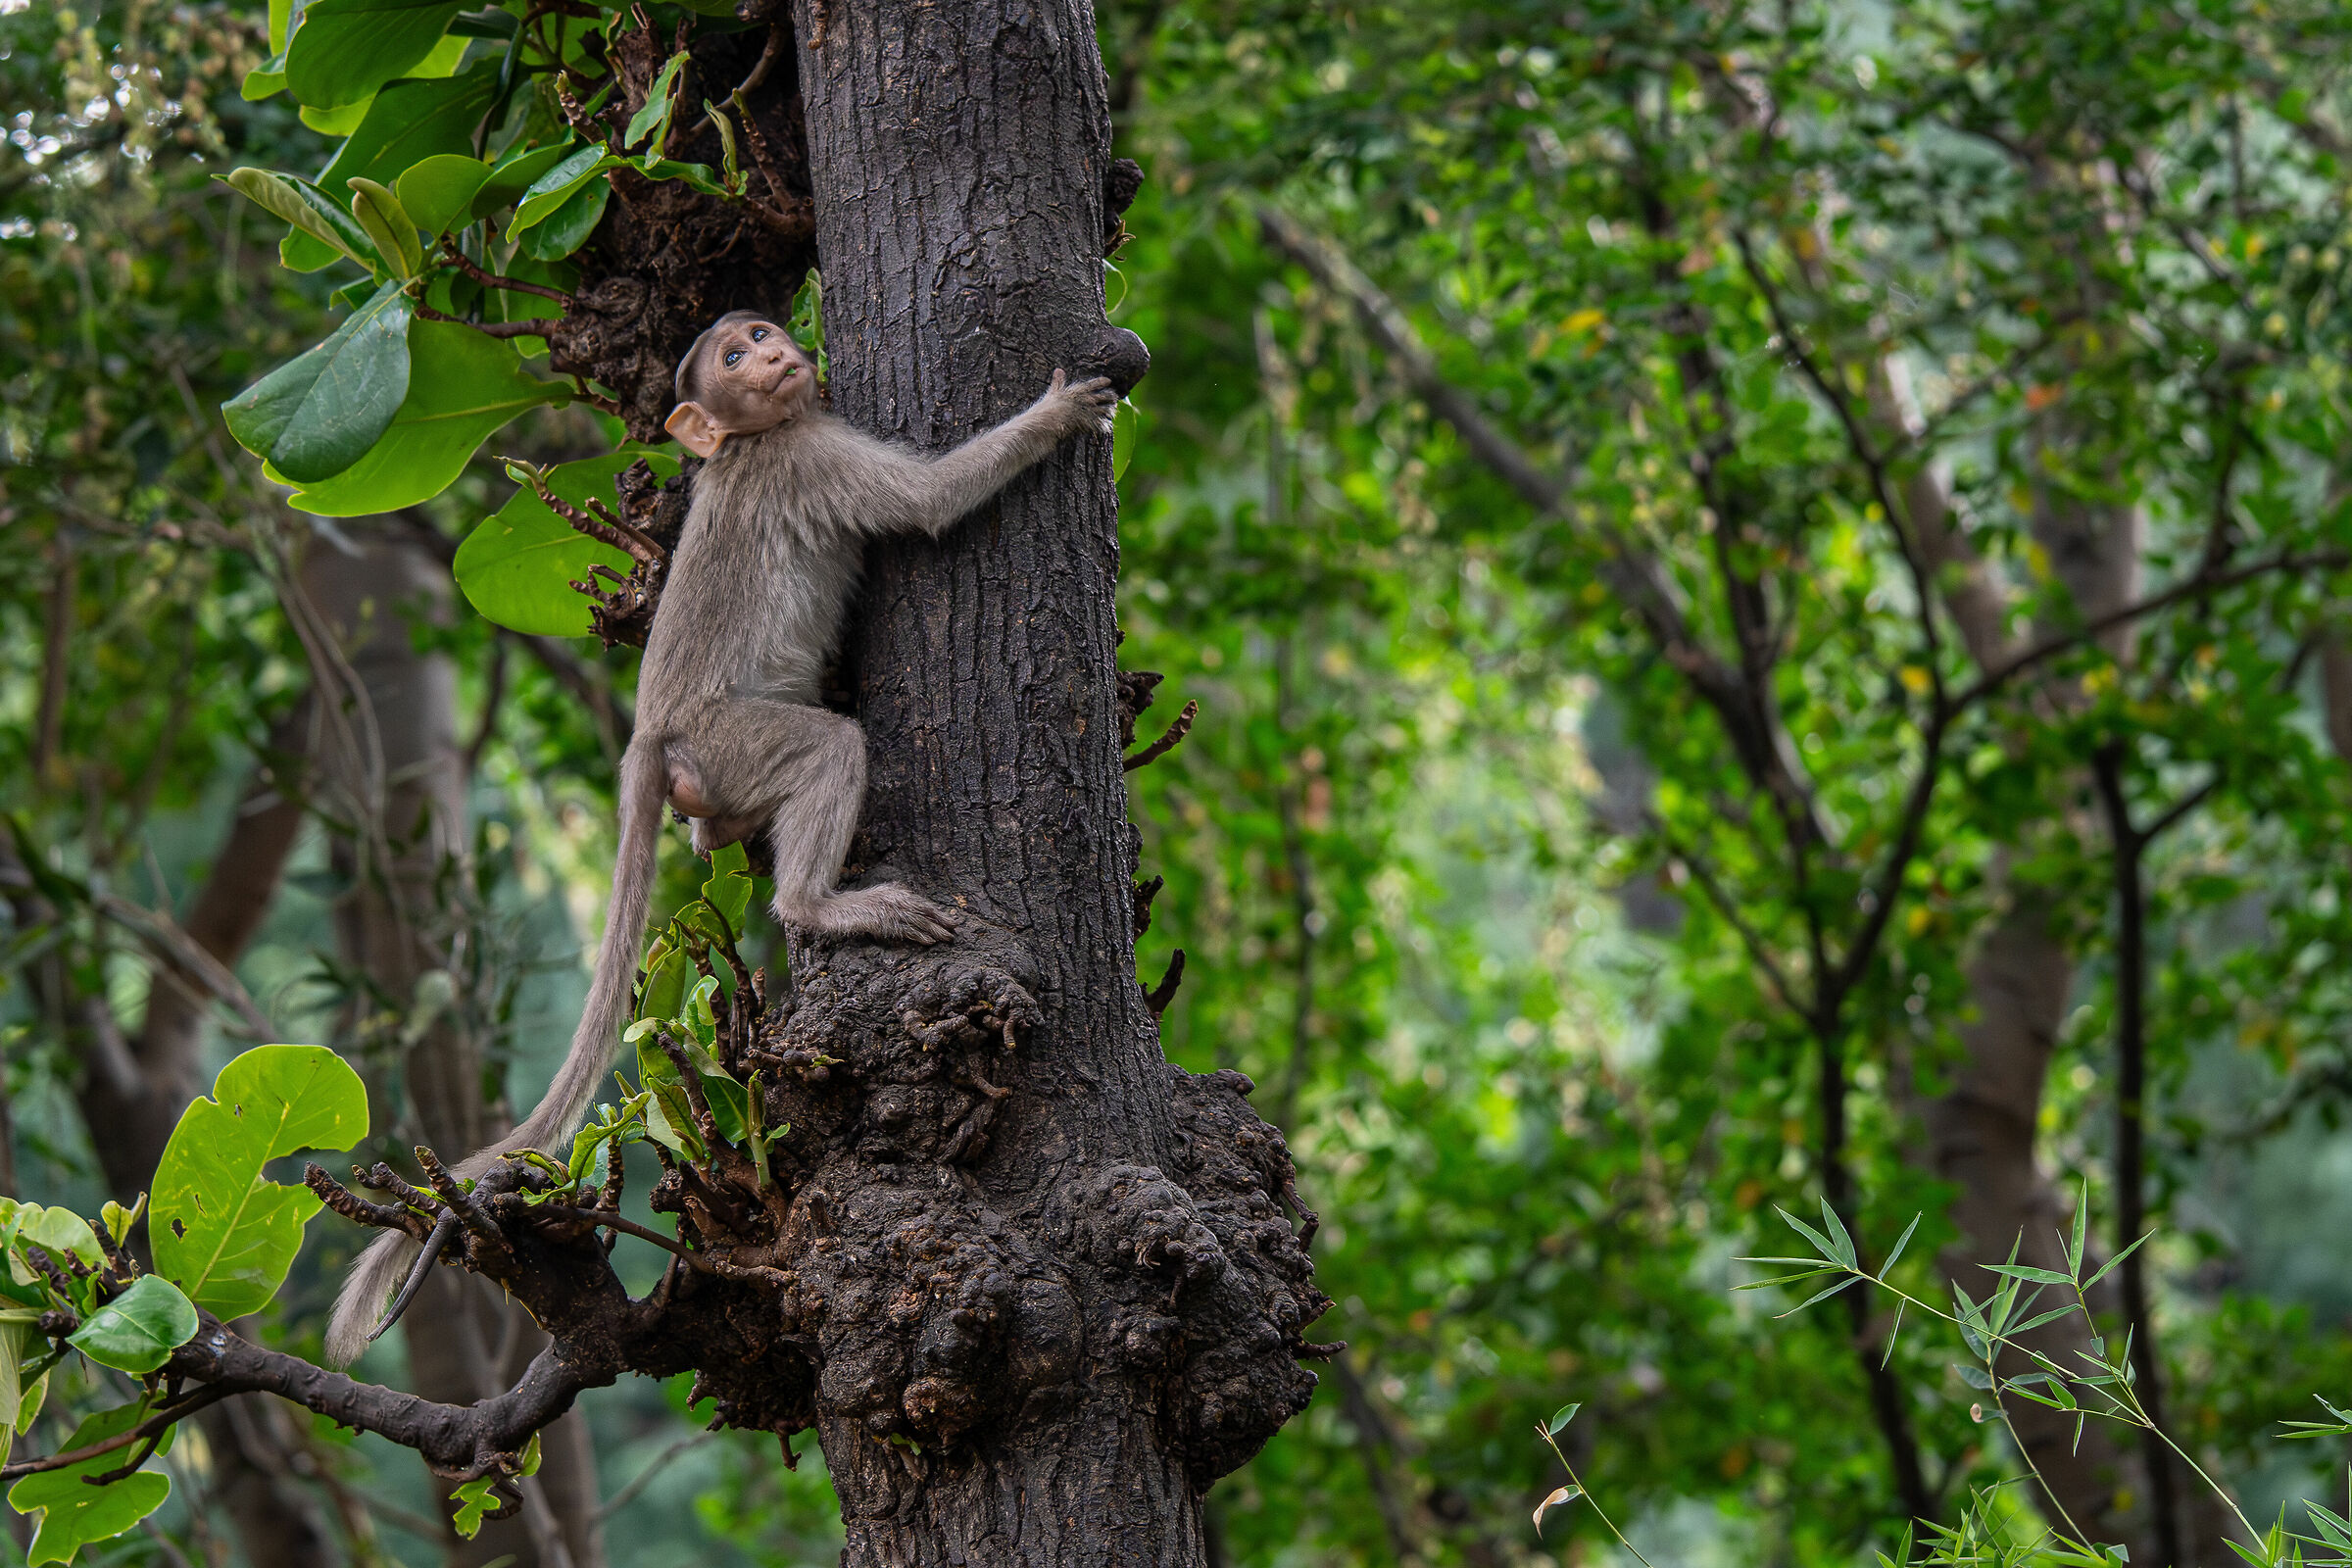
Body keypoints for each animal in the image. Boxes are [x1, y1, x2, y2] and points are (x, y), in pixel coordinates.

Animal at [323, 312, 1118, 1364]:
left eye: (758, 331)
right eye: (735, 358)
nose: (774, 351)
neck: (748, 441)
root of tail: (651, 733)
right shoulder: (811, 455)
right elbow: (931, 502)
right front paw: (1057, 415)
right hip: (733, 739)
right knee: (828, 748)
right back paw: (820, 903)